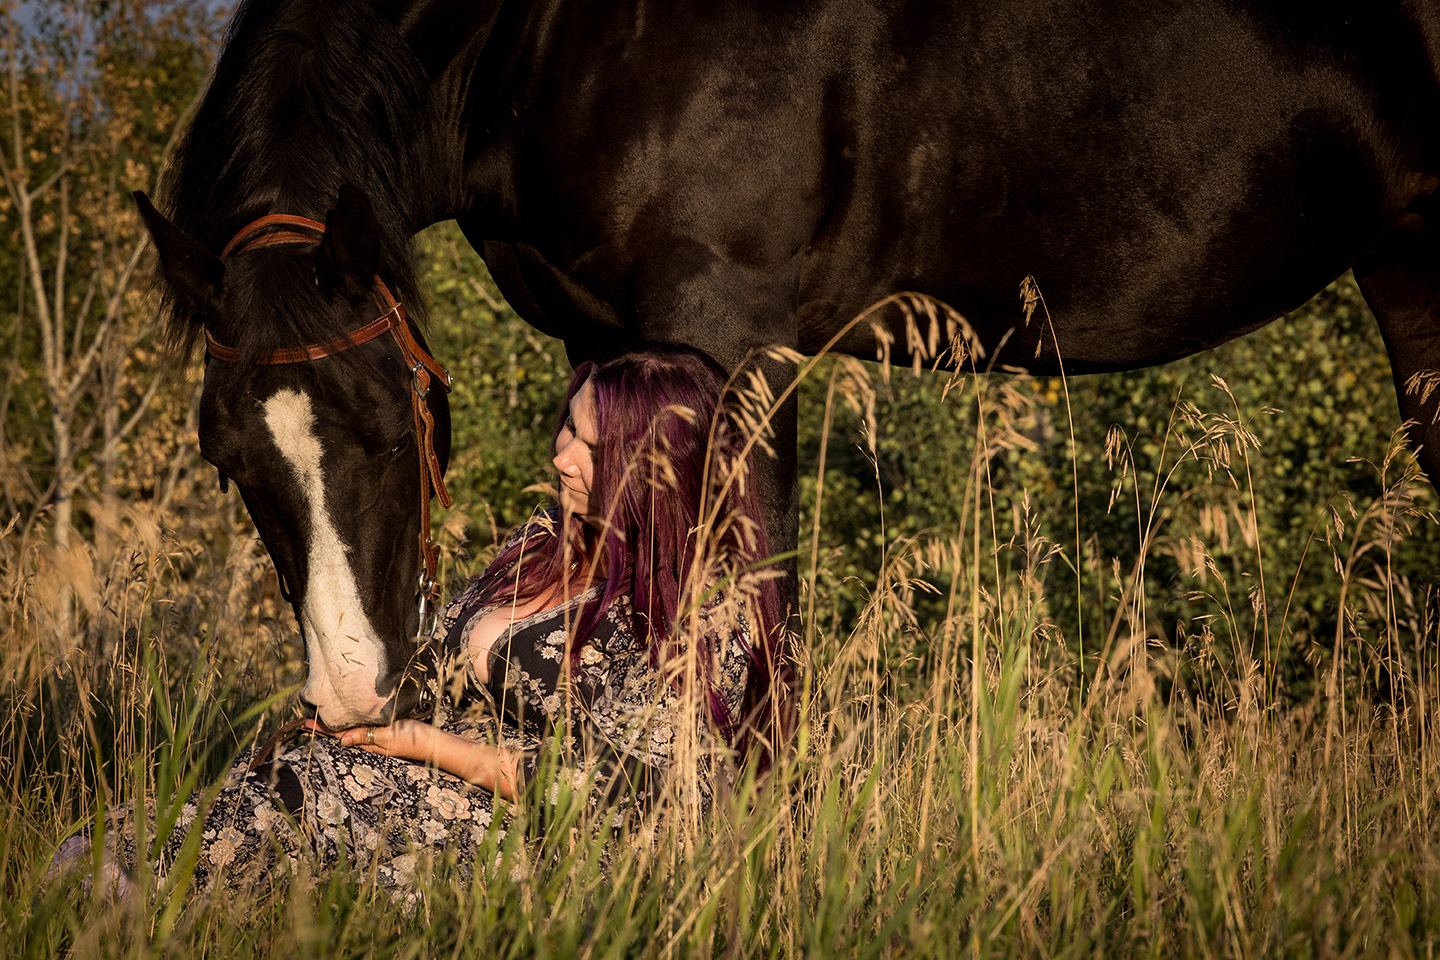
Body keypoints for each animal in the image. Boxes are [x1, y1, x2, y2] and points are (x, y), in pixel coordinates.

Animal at [140, 0, 1440, 728]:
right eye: (226, 455)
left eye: (391, 417)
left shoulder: (733, 334)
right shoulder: (606, 341)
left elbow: (753, 614)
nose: (351, 698)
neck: (552, 29)